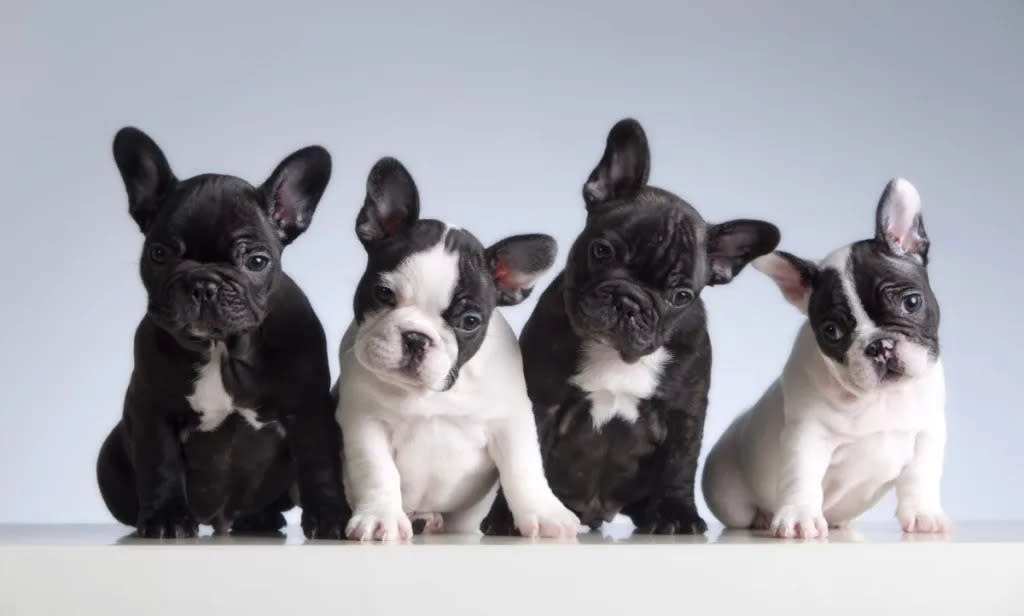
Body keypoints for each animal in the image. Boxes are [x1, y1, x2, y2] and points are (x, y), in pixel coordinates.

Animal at [333, 157, 581, 536]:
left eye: (470, 321)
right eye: (383, 293)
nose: (416, 337)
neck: (431, 394)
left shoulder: (511, 422)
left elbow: (524, 469)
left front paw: (545, 513)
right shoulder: (365, 423)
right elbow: (378, 472)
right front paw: (381, 517)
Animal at [483, 118, 778, 532]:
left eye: (681, 295)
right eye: (601, 250)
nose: (629, 301)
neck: (615, 356)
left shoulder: (684, 413)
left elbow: (680, 465)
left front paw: (678, 514)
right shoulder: (541, 402)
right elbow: (526, 463)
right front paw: (511, 517)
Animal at [704, 174, 950, 536]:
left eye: (912, 302)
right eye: (831, 331)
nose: (879, 345)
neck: (880, 398)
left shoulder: (927, 434)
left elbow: (921, 476)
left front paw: (923, 514)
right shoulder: (807, 435)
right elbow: (801, 476)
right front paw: (800, 517)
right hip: (729, 497)